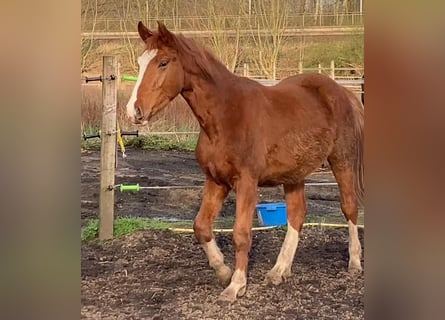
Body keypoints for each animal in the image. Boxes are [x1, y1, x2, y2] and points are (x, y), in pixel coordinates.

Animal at [126, 21, 362, 302]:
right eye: (140, 62)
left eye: (163, 62)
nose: (134, 111)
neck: (225, 116)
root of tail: (343, 91)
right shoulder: (216, 181)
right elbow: (201, 226)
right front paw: (223, 270)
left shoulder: (246, 182)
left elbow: (241, 234)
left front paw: (236, 285)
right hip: (295, 173)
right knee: (297, 214)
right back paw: (279, 271)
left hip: (343, 161)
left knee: (349, 206)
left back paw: (354, 262)